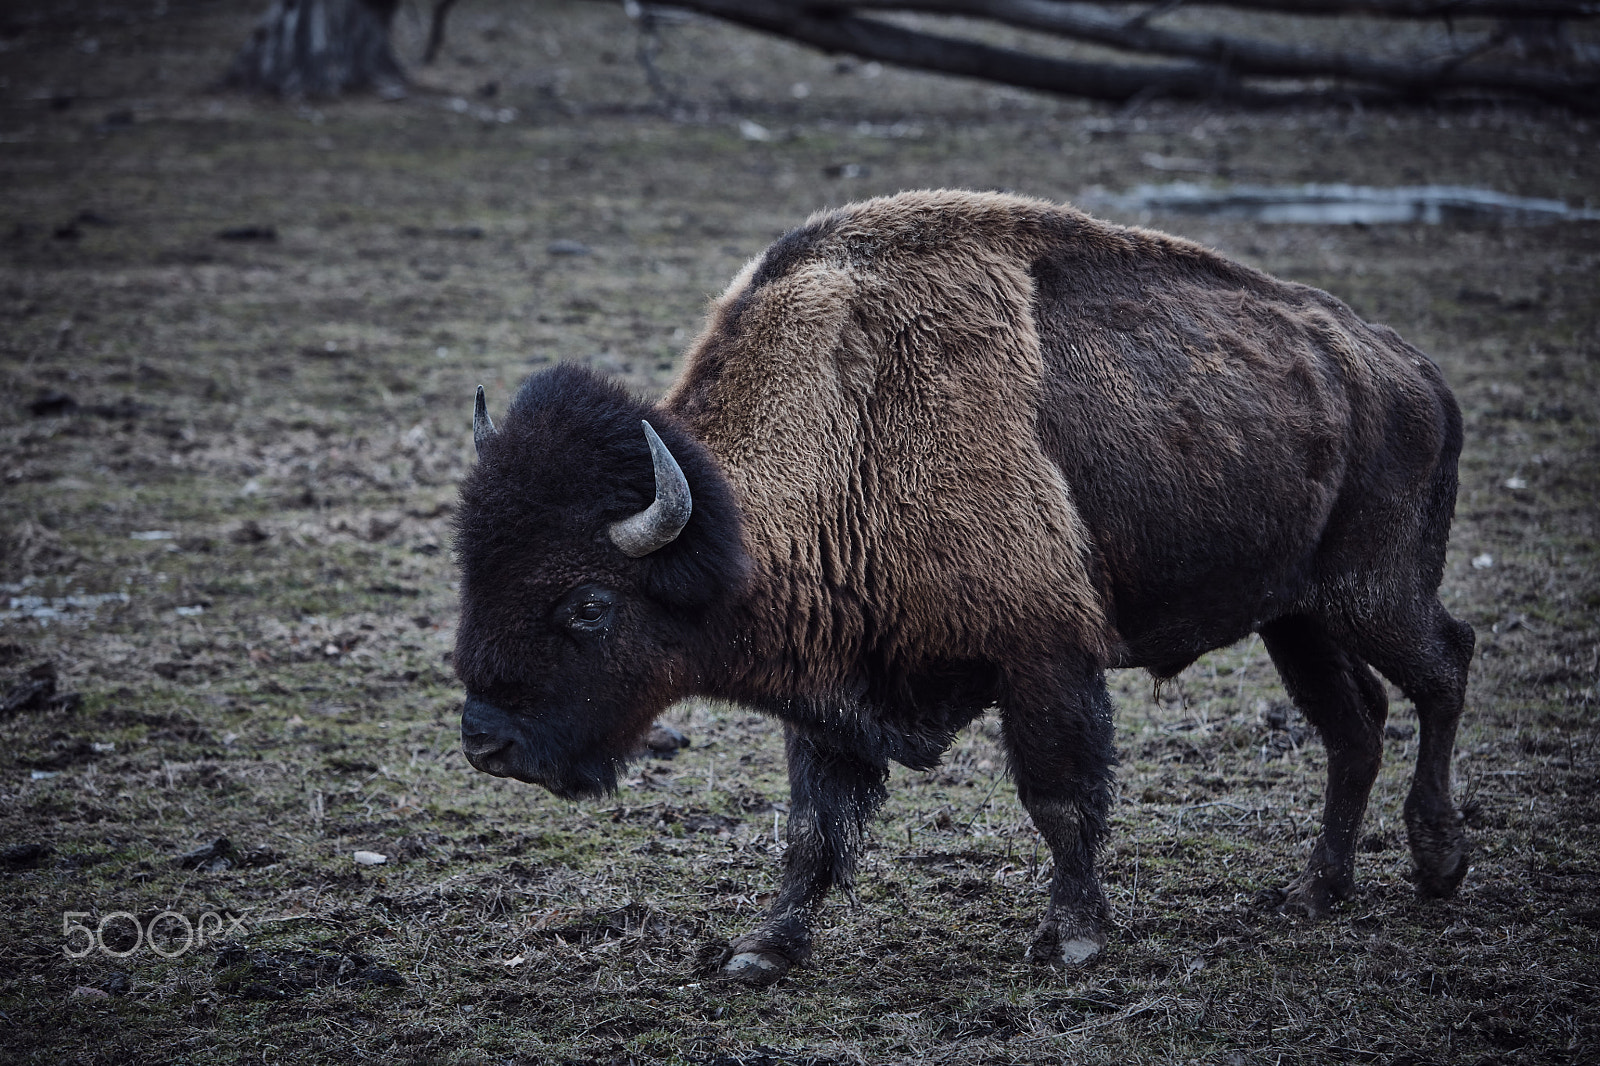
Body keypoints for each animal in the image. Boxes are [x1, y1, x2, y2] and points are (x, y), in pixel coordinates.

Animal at [451, 188, 1472, 979]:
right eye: (470, 570)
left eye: (588, 606)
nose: (486, 743)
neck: (849, 425)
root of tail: (1414, 372)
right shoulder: (830, 694)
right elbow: (812, 829)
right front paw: (763, 950)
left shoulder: (1044, 660)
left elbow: (1060, 799)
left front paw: (1072, 940)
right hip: (1295, 617)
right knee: (1355, 722)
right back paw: (1315, 891)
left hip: (1372, 593)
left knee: (1444, 667)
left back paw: (1438, 862)